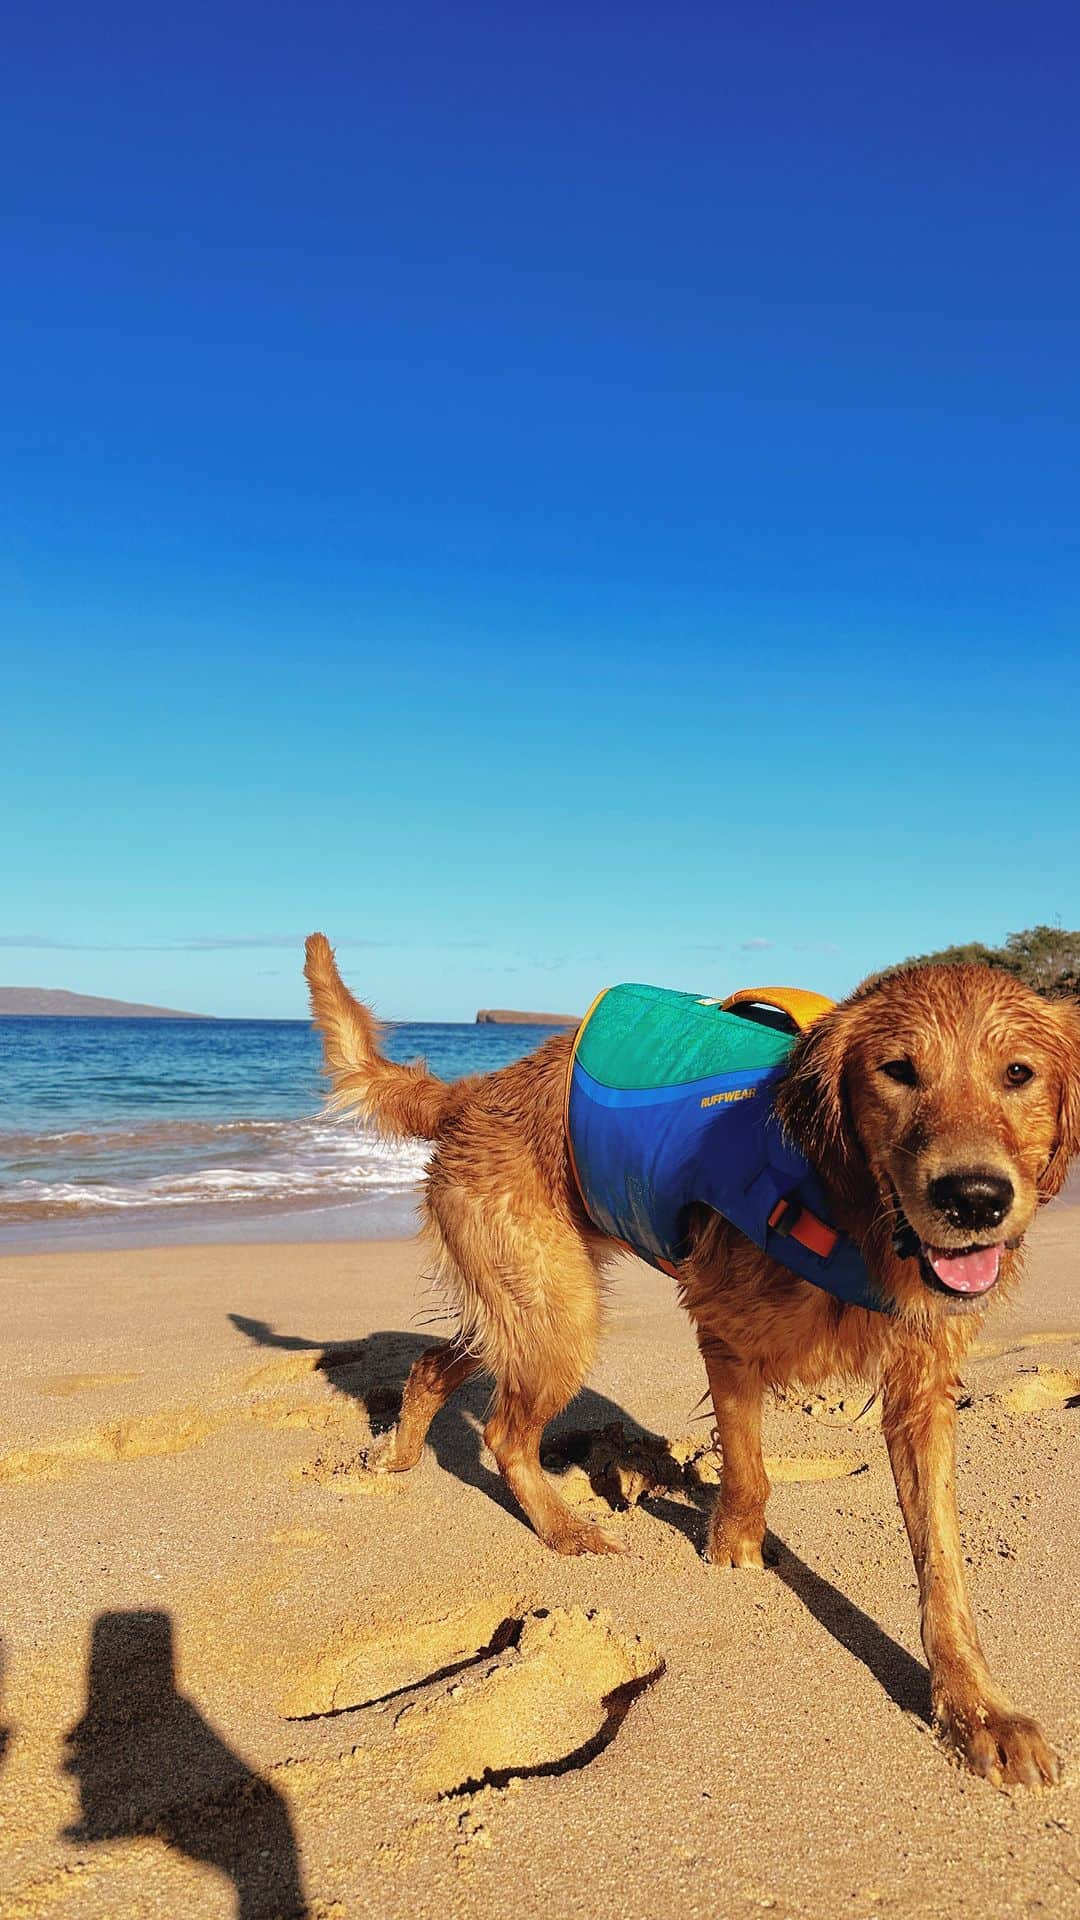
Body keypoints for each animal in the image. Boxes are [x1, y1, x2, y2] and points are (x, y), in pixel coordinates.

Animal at [299, 936, 1076, 1789]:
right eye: (899, 1070)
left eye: (1018, 1073)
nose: (975, 1199)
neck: (854, 1214)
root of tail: (476, 1092)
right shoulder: (726, 1330)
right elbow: (750, 1467)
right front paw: (734, 1547)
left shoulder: (923, 1388)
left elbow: (942, 1563)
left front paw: (977, 1709)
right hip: (559, 1313)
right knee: (504, 1432)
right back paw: (565, 1529)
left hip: (524, 1308)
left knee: (435, 1364)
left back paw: (399, 1455)